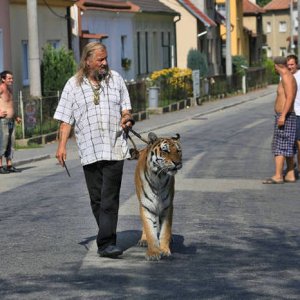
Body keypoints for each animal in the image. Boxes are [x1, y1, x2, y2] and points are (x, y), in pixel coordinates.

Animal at [134, 131, 183, 260]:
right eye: (165, 151)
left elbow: (165, 231)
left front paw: (164, 250)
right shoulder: (146, 206)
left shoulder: (167, 207)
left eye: (178, 151)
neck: (159, 178)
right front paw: (154, 252)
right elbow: (150, 230)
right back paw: (143, 240)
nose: (177, 163)